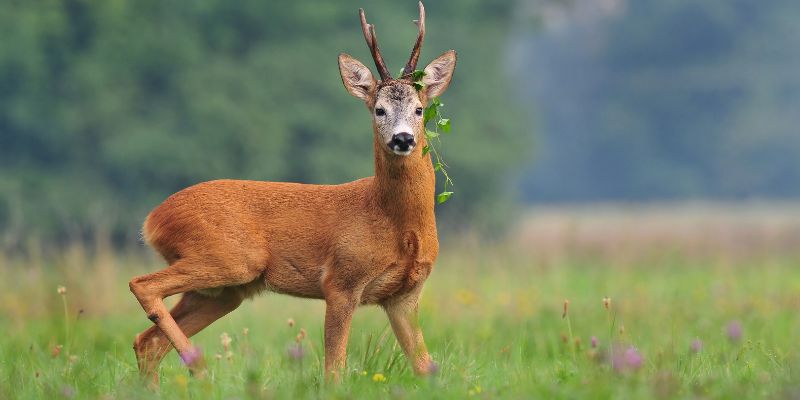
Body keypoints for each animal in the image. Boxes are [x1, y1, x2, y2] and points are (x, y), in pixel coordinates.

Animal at [128, 2, 456, 384]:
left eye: (419, 109)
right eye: (379, 109)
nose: (402, 139)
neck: (396, 223)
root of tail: (153, 219)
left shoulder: (404, 296)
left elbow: (424, 367)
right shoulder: (340, 281)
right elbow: (334, 369)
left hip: (223, 290)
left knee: (147, 341)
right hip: (229, 258)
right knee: (142, 286)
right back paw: (200, 366)